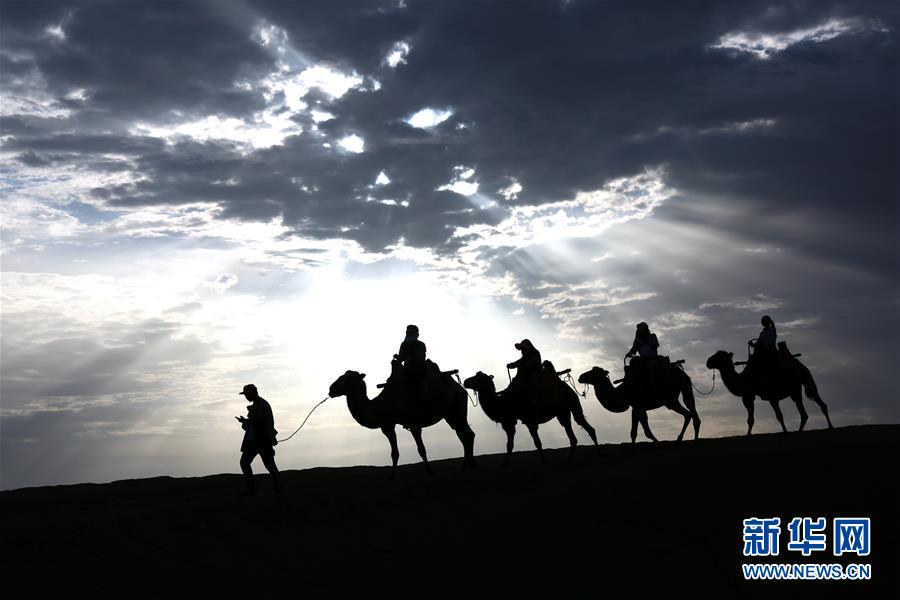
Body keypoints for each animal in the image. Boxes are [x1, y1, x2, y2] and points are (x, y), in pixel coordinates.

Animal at [328, 364, 478, 476]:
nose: (331, 389)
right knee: (464, 434)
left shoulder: (413, 422)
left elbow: (421, 449)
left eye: (346, 379)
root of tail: (459, 386)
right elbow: (394, 452)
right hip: (451, 414)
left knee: (466, 434)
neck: (382, 405)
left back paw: (468, 466)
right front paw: (392, 475)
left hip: (458, 407)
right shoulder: (388, 425)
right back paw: (469, 466)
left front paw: (429, 471)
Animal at [464, 370, 596, 464]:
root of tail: (567, 387)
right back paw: (569, 459)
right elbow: (510, 444)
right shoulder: (511, 421)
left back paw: (596, 454)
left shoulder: (528, 420)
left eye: (478, 378)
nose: (465, 381)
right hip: (563, 412)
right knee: (575, 432)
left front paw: (544, 461)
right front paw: (505, 464)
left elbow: (537, 442)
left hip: (571, 403)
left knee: (583, 426)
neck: (503, 403)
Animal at [704, 346, 836, 436]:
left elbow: (777, 416)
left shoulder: (765, 396)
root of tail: (802, 366)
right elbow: (751, 419)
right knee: (805, 412)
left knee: (816, 401)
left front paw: (785, 432)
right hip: (795, 389)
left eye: (719, 356)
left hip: (805, 379)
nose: (707, 362)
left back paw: (830, 426)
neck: (744, 379)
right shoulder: (752, 396)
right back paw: (803, 430)